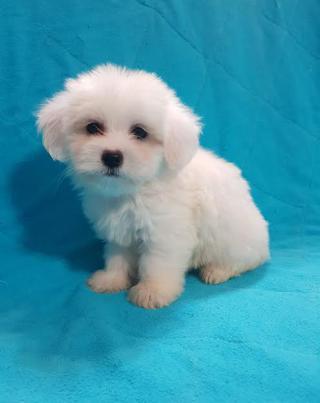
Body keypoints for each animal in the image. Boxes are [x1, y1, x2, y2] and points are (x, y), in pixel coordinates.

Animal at [36, 64, 268, 310]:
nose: (112, 157)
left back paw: (217, 271)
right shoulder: (119, 231)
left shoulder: (165, 233)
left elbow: (157, 264)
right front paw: (112, 280)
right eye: (93, 127)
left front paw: (153, 291)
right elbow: (117, 256)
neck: (134, 191)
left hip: (235, 242)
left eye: (140, 132)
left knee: (242, 261)